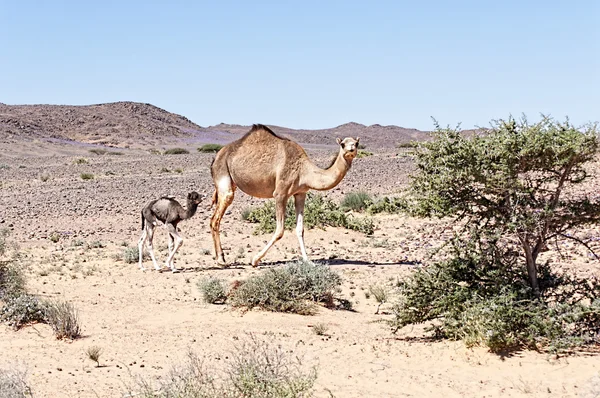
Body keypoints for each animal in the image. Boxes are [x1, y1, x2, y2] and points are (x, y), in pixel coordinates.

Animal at [211, 124, 358, 268]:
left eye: (356, 143)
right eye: (343, 144)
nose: (351, 149)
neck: (304, 171)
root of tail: (216, 157)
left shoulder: (300, 193)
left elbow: (300, 229)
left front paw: (308, 261)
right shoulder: (280, 193)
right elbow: (280, 231)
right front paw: (255, 260)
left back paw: (221, 258)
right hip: (222, 172)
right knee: (216, 218)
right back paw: (221, 260)